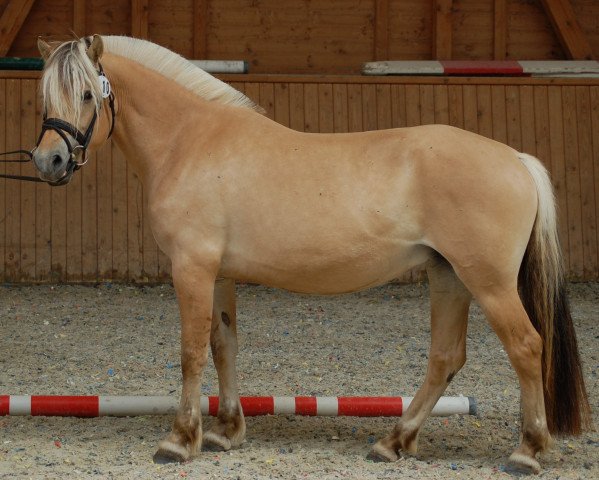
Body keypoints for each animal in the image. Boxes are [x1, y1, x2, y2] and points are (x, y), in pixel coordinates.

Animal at [32, 34, 592, 472]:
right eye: (44, 96)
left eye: (87, 92)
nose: (49, 160)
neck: (188, 141)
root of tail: (515, 159)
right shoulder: (219, 275)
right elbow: (223, 345)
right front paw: (225, 432)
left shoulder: (192, 268)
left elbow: (192, 351)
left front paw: (180, 439)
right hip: (450, 277)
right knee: (445, 357)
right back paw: (394, 441)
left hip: (489, 283)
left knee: (526, 347)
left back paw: (526, 451)